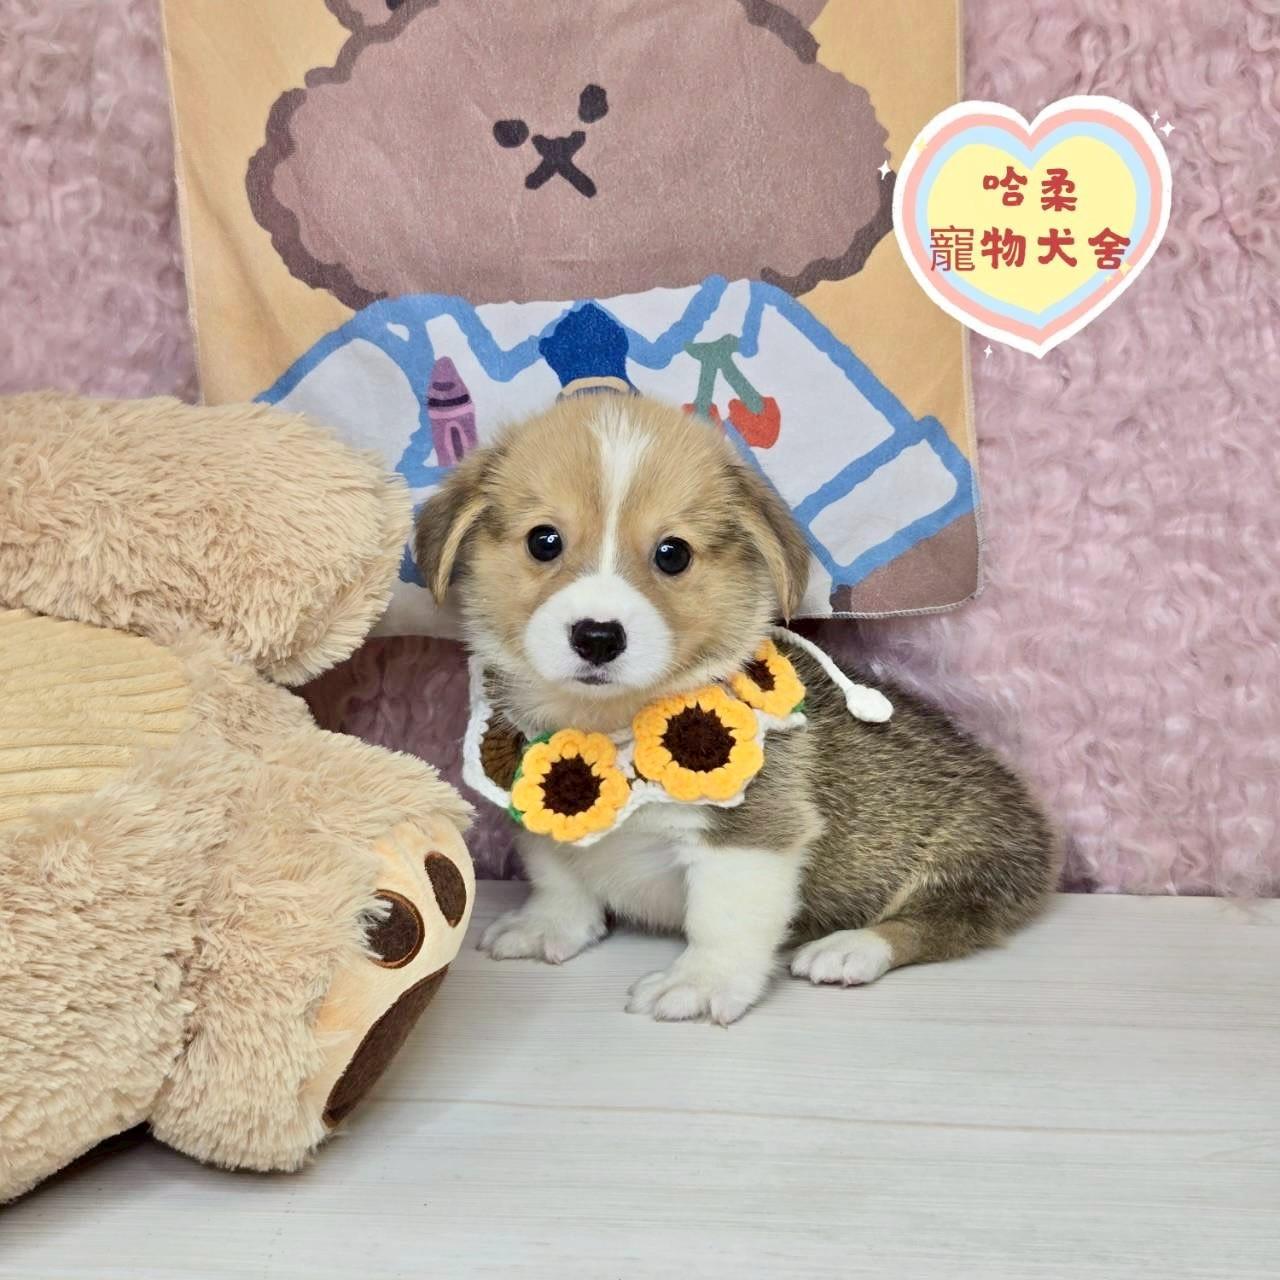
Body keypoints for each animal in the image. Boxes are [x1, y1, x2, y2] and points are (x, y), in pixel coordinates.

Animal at [415, 395, 1059, 1024]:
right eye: (543, 541)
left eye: (672, 554)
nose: (597, 637)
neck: (609, 724)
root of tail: (1037, 826)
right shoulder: (537, 820)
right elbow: (557, 877)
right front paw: (549, 925)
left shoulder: (750, 838)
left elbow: (721, 920)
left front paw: (701, 983)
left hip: (965, 856)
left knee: (940, 922)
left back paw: (850, 948)